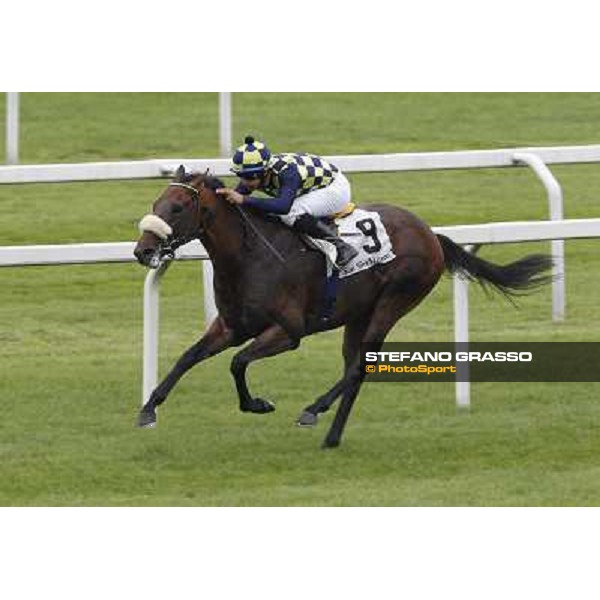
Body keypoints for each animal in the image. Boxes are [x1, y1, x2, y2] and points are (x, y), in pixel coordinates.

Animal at [134, 166, 552, 448]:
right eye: (156, 203)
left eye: (177, 207)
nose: (143, 251)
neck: (249, 255)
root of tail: (431, 234)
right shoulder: (232, 326)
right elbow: (187, 357)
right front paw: (148, 409)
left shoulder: (288, 331)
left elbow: (237, 363)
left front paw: (258, 404)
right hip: (358, 314)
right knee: (354, 367)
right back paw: (330, 433)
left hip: (393, 302)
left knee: (360, 367)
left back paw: (315, 411)